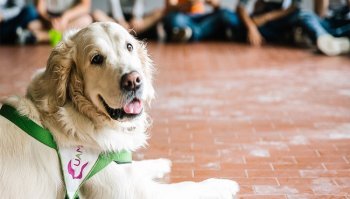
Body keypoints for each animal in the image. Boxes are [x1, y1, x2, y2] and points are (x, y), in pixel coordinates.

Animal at [0, 21, 238, 197]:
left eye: (129, 47)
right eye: (96, 59)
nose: (133, 80)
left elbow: (137, 165)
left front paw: (161, 163)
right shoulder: (132, 191)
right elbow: (188, 186)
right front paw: (223, 184)